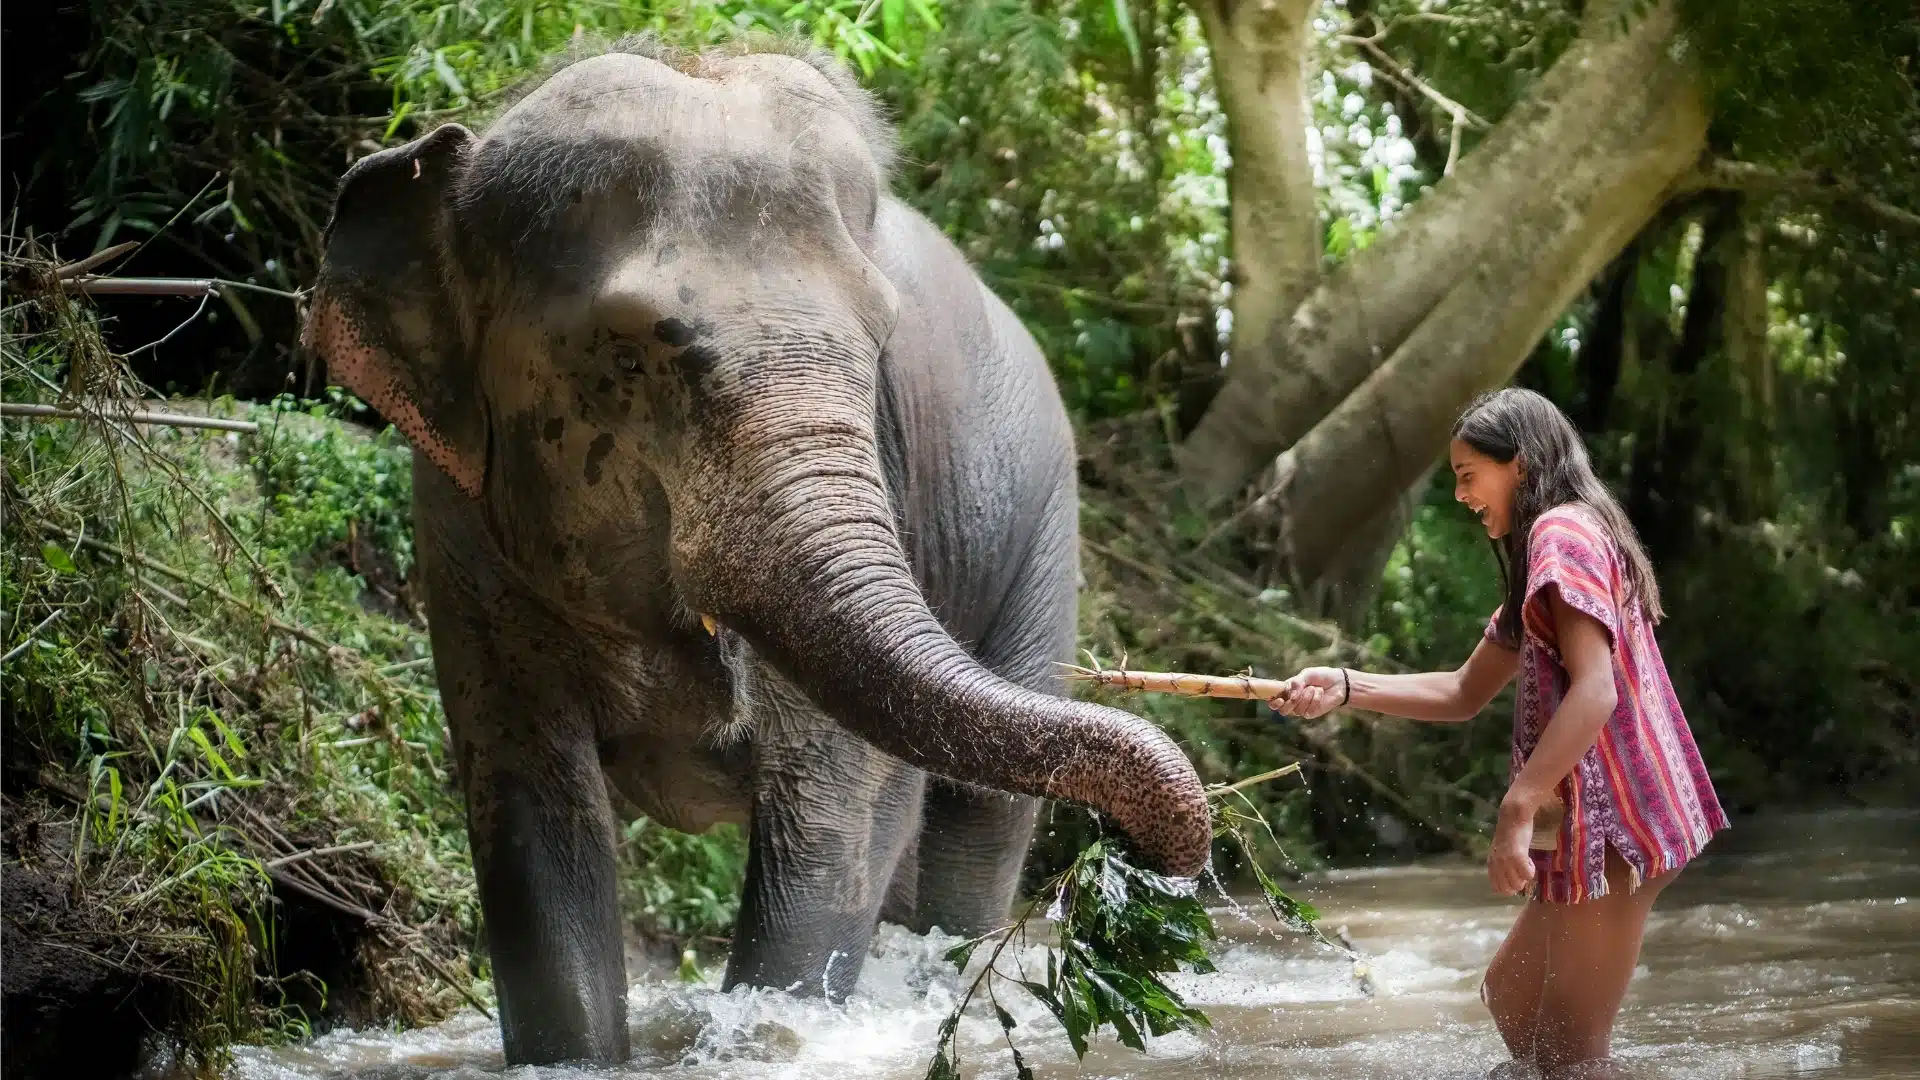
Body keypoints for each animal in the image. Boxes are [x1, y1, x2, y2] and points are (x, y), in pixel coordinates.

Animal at [303, 36, 1210, 1066]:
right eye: (632, 352)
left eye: (881, 342)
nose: (1153, 861)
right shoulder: (458, 517)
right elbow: (531, 813)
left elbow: (830, 820)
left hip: (1042, 533)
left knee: (975, 826)